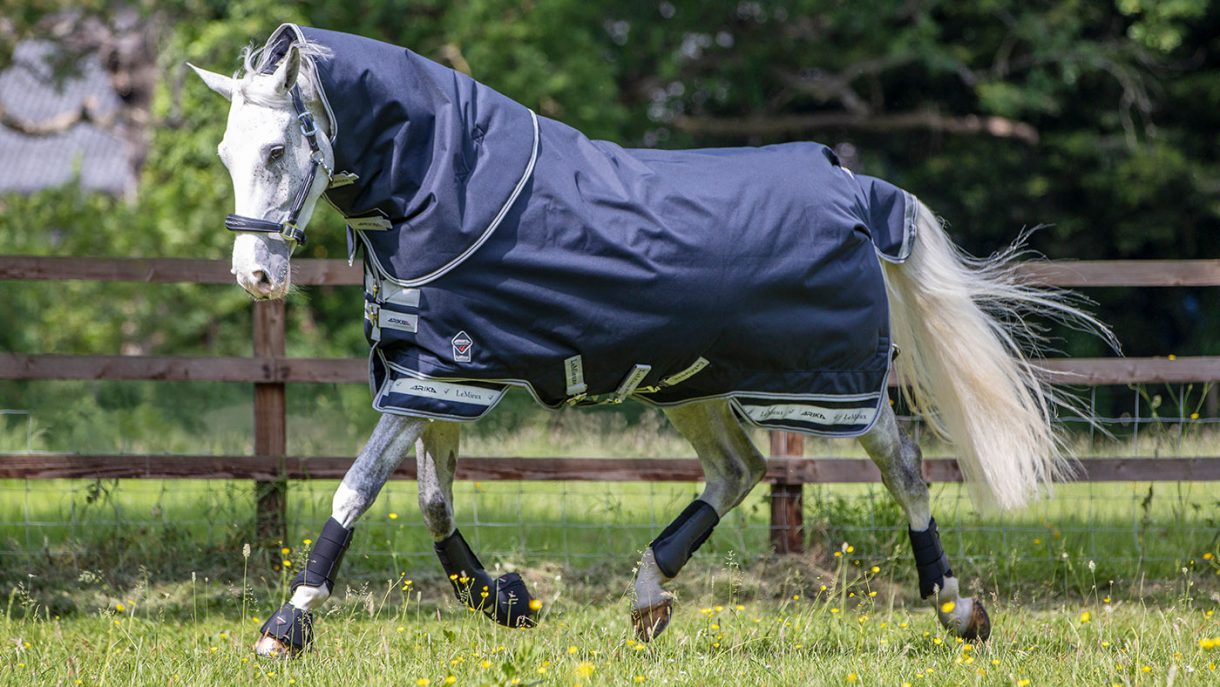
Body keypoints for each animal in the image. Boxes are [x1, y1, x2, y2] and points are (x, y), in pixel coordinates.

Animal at [188, 24, 1105, 658]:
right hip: (690, 381)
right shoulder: (437, 376)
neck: (449, 185)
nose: (256, 275)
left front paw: (285, 625)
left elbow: (354, 489)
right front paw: (507, 600)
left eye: (278, 148)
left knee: (903, 465)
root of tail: (855, 186)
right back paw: (647, 598)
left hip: (826, 384)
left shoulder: (444, 377)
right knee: (739, 470)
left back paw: (957, 608)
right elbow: (431, 501)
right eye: (229, 151)